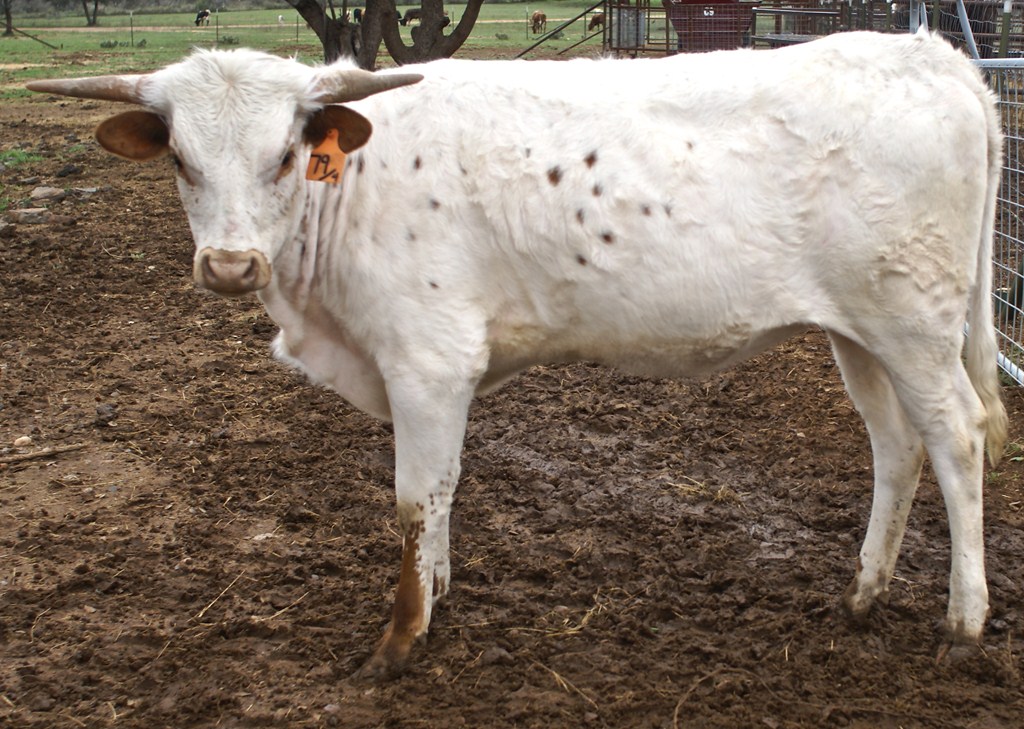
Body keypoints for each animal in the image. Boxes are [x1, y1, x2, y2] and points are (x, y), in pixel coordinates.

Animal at [26, 30, 1008, 680]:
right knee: (897, 446)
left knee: (956, 438)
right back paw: (864, 592)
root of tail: (930, 53)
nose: (231, 266)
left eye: (285, 153)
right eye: (180, 160)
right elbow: (445, 491)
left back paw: (963, 623)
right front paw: (440, 589)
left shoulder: (427, 361)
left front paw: (399, 638)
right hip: (857, 333)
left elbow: (415, 495)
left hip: (914, 323)